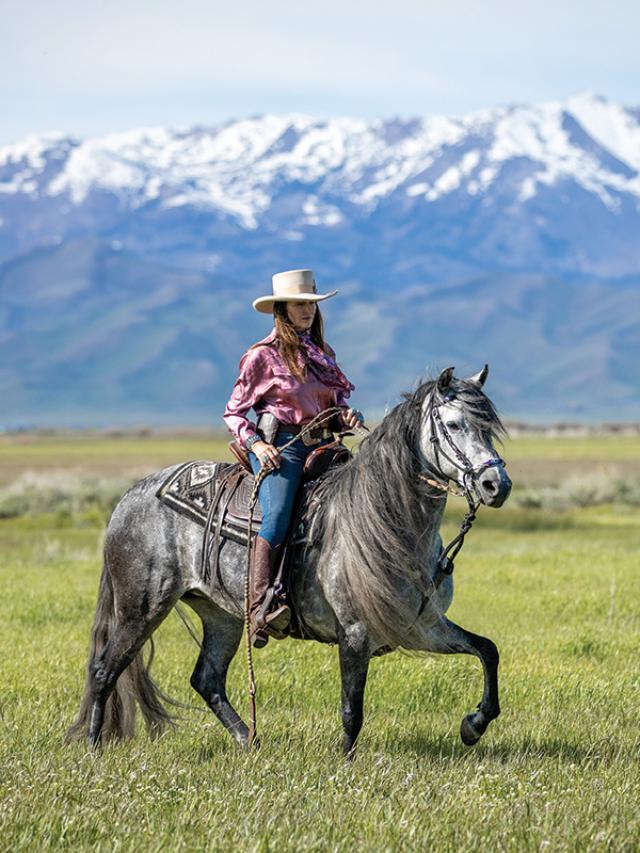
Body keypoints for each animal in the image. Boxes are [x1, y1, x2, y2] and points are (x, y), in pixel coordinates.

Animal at [67, 364, 512, 752]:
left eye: (489, 427)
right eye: (453, 425)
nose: (497, 485)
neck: (384, 522)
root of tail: (131, 495)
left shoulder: (423, 626)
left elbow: (487, 649)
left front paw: (473, 725)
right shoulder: (355, 632)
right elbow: (352, 711)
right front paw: (346, 765)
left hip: (221, 614)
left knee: (207, 679)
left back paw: (249, 741)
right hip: (141, 609)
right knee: (104, 670)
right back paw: (94, 747)